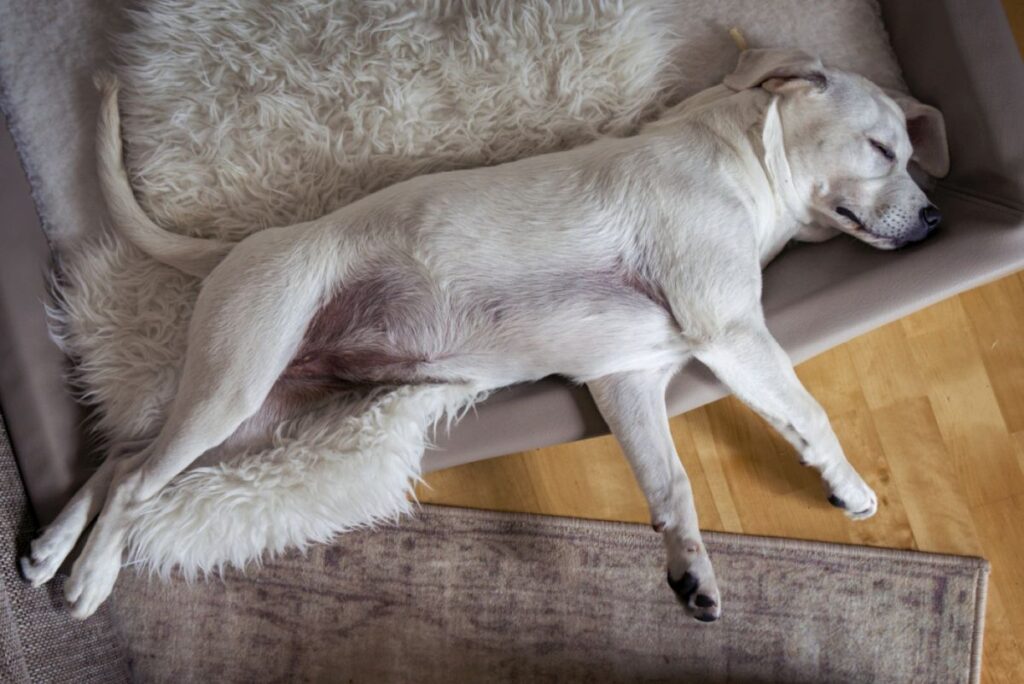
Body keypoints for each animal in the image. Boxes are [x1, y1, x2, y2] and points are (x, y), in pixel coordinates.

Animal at [22, 50, 950, 622]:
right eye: (883, 149)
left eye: (907, 154)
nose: (938, 219)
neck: (745, 172)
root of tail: (233, 248)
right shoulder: (731, 331)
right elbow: (811, 417)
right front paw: (850, 488)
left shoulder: (628, 381)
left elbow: (671, 485)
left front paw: (690, 573)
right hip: (235, 387)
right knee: (137, 483)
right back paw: (91, 575)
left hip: (253, 416)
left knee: (122, 460)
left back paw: (51, 549)